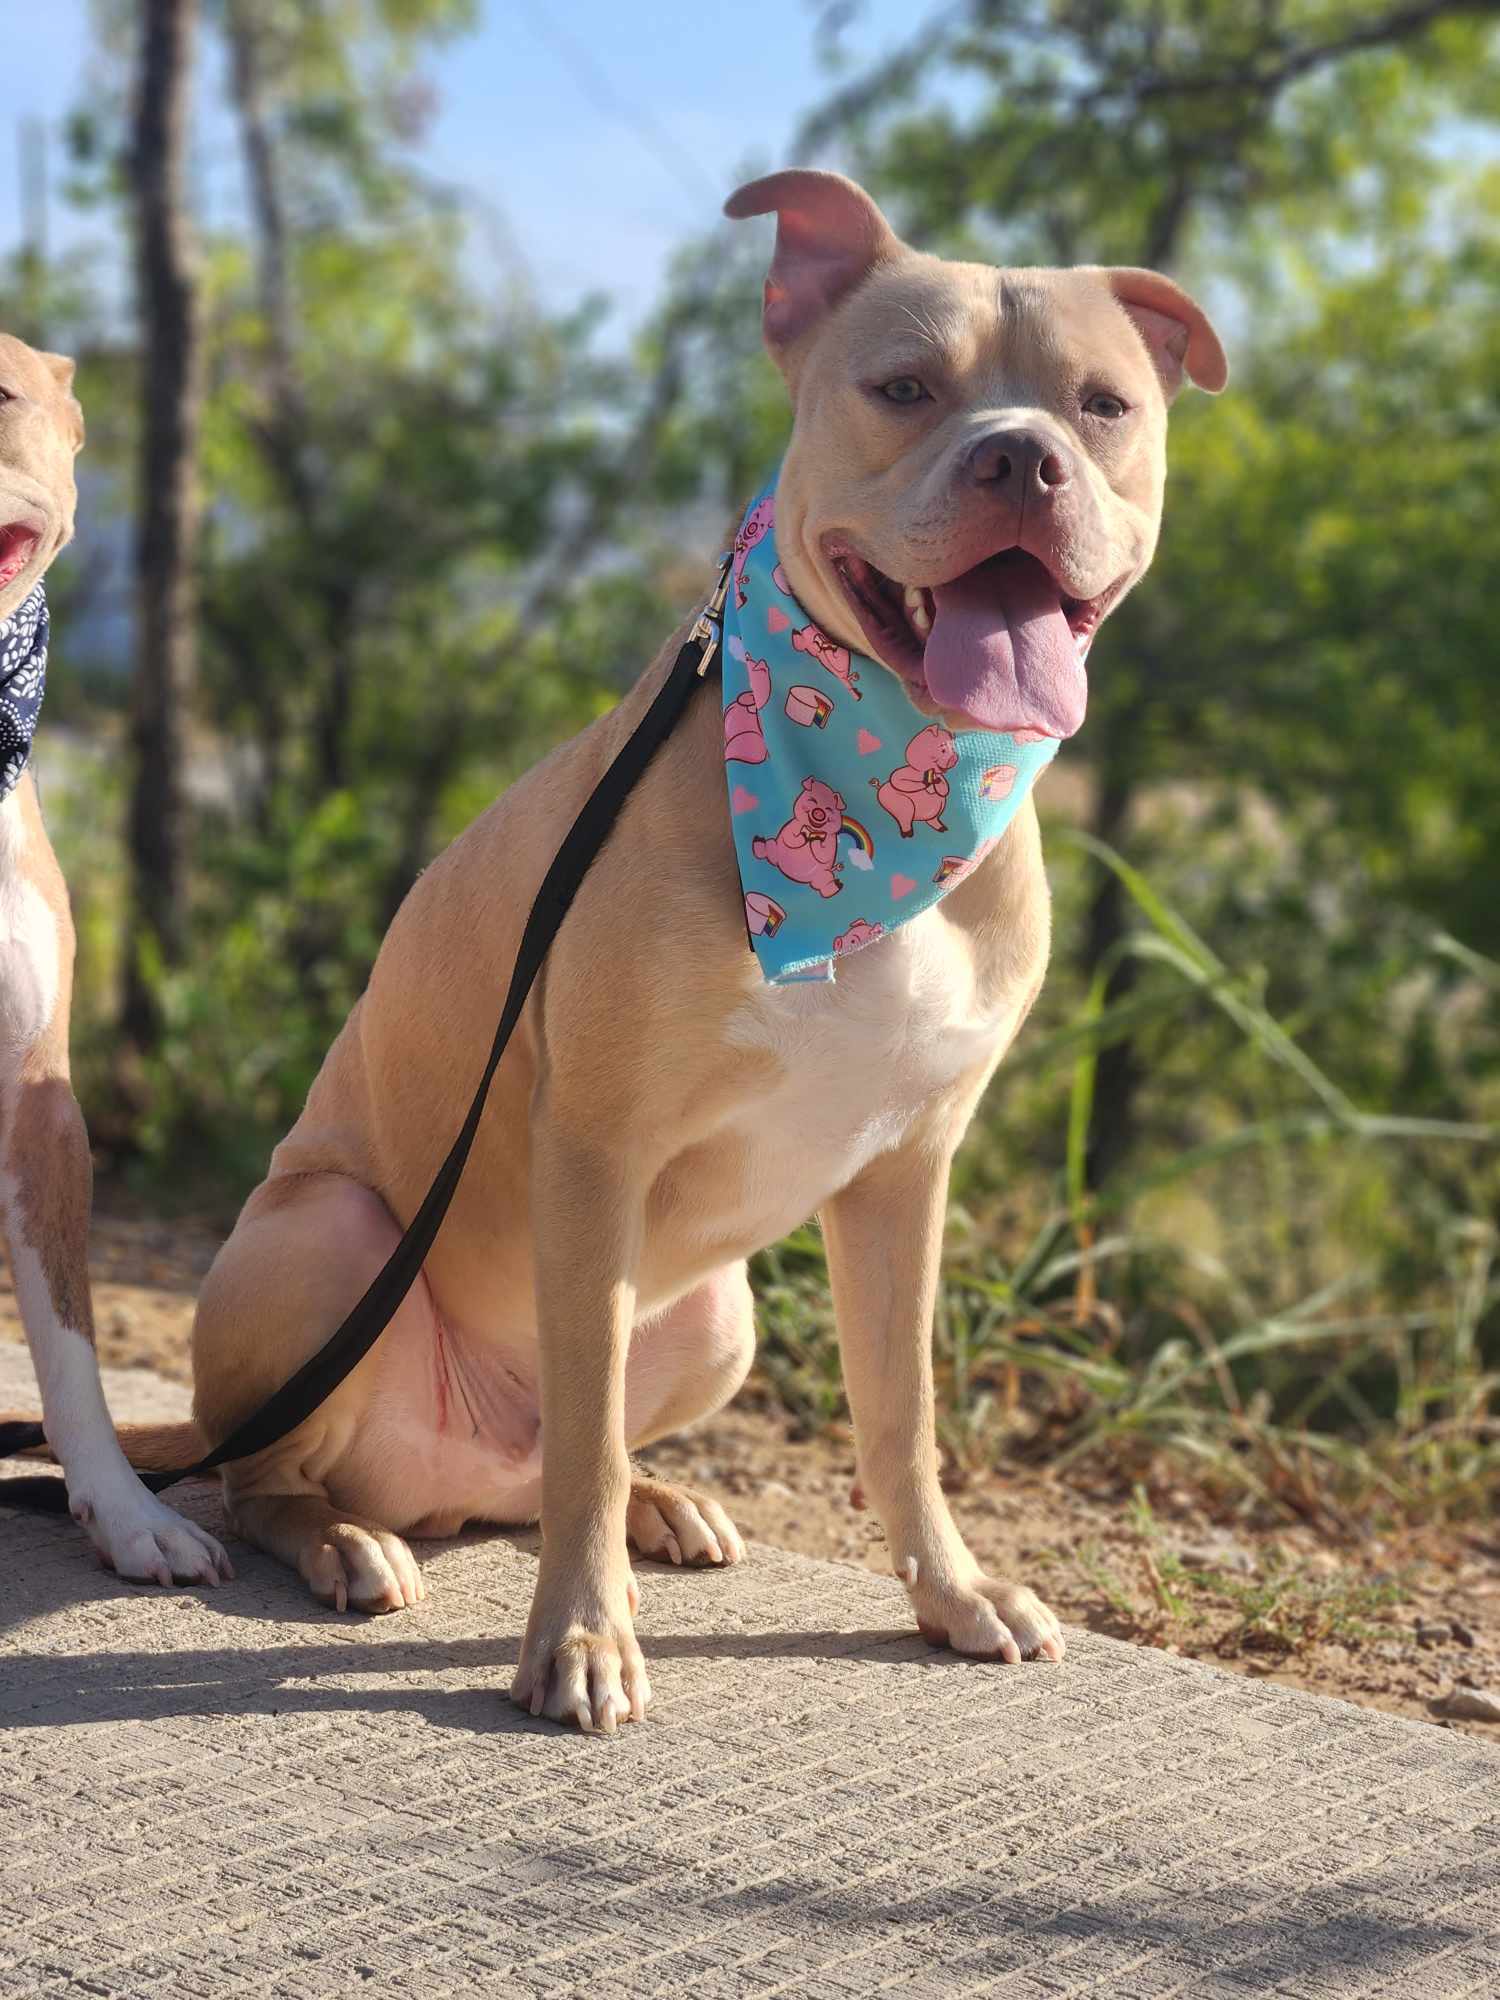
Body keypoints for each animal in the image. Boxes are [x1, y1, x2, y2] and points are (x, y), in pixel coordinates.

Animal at [91, 180, 1224, 1728]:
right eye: (904, 387)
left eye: (1102, 404)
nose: (1022, 461)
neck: (883, 786)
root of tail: (452, 1477)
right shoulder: (594, 1147)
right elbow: (589, 1430)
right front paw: (579, 1636)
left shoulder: (907, 1170)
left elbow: (900, 1415)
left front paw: (948, 1591)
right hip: (331, 1241)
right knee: (278, 1467)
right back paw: (346, 1542)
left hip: (718, 1315)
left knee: (556, 1463)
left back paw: (657, 1507)